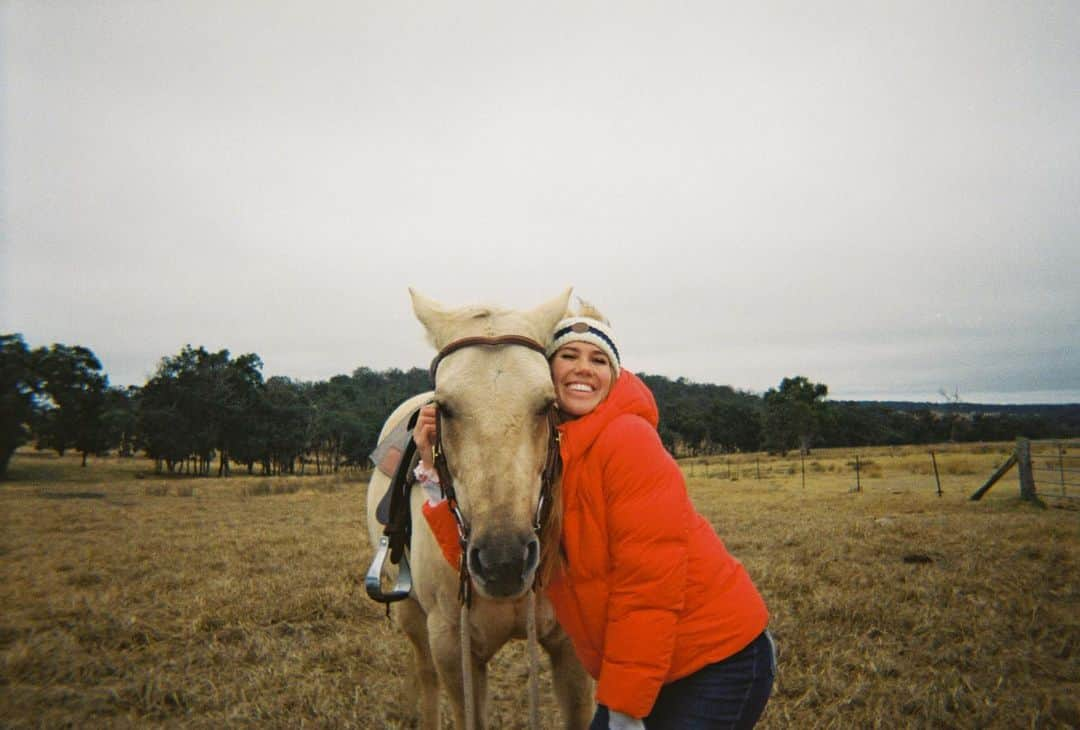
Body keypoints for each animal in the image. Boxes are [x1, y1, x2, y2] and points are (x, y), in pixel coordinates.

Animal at [367, 291, 596, 730]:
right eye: (445, 408)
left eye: (547, 404)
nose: (502, 562)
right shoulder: (452, 650)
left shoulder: (571, 650)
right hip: (412, 614)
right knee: (425, 676)